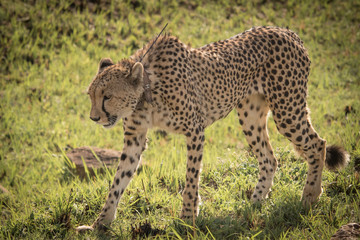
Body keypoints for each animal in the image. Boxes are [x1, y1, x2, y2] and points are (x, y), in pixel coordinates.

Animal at [76, 26, 348, 231]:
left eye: (107, 97)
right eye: (90, 96)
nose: (94, 117)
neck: (147, 90)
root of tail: (287, 31)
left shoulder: (195, 130)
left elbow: (191, 179)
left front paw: (187, 219)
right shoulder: (135, 138)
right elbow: (118, 181)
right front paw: (100, 224)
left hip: (287, 110)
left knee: (317, 144)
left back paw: (310, 197)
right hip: (250, 115)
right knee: (270, 158)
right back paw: (254, 203)